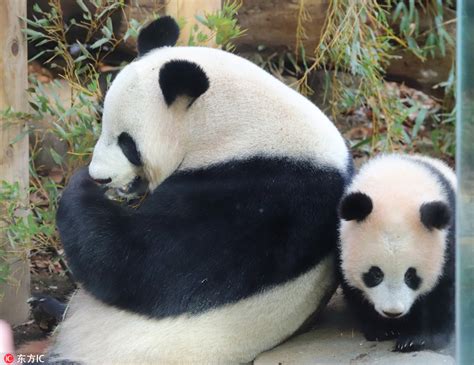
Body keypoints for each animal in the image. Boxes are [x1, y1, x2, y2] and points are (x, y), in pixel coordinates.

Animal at [51, 15, 352, 362]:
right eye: (101, 119)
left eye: (128, 144)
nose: (100, 177)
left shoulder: (264, 197)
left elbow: (143, 263)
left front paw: (79, 187)